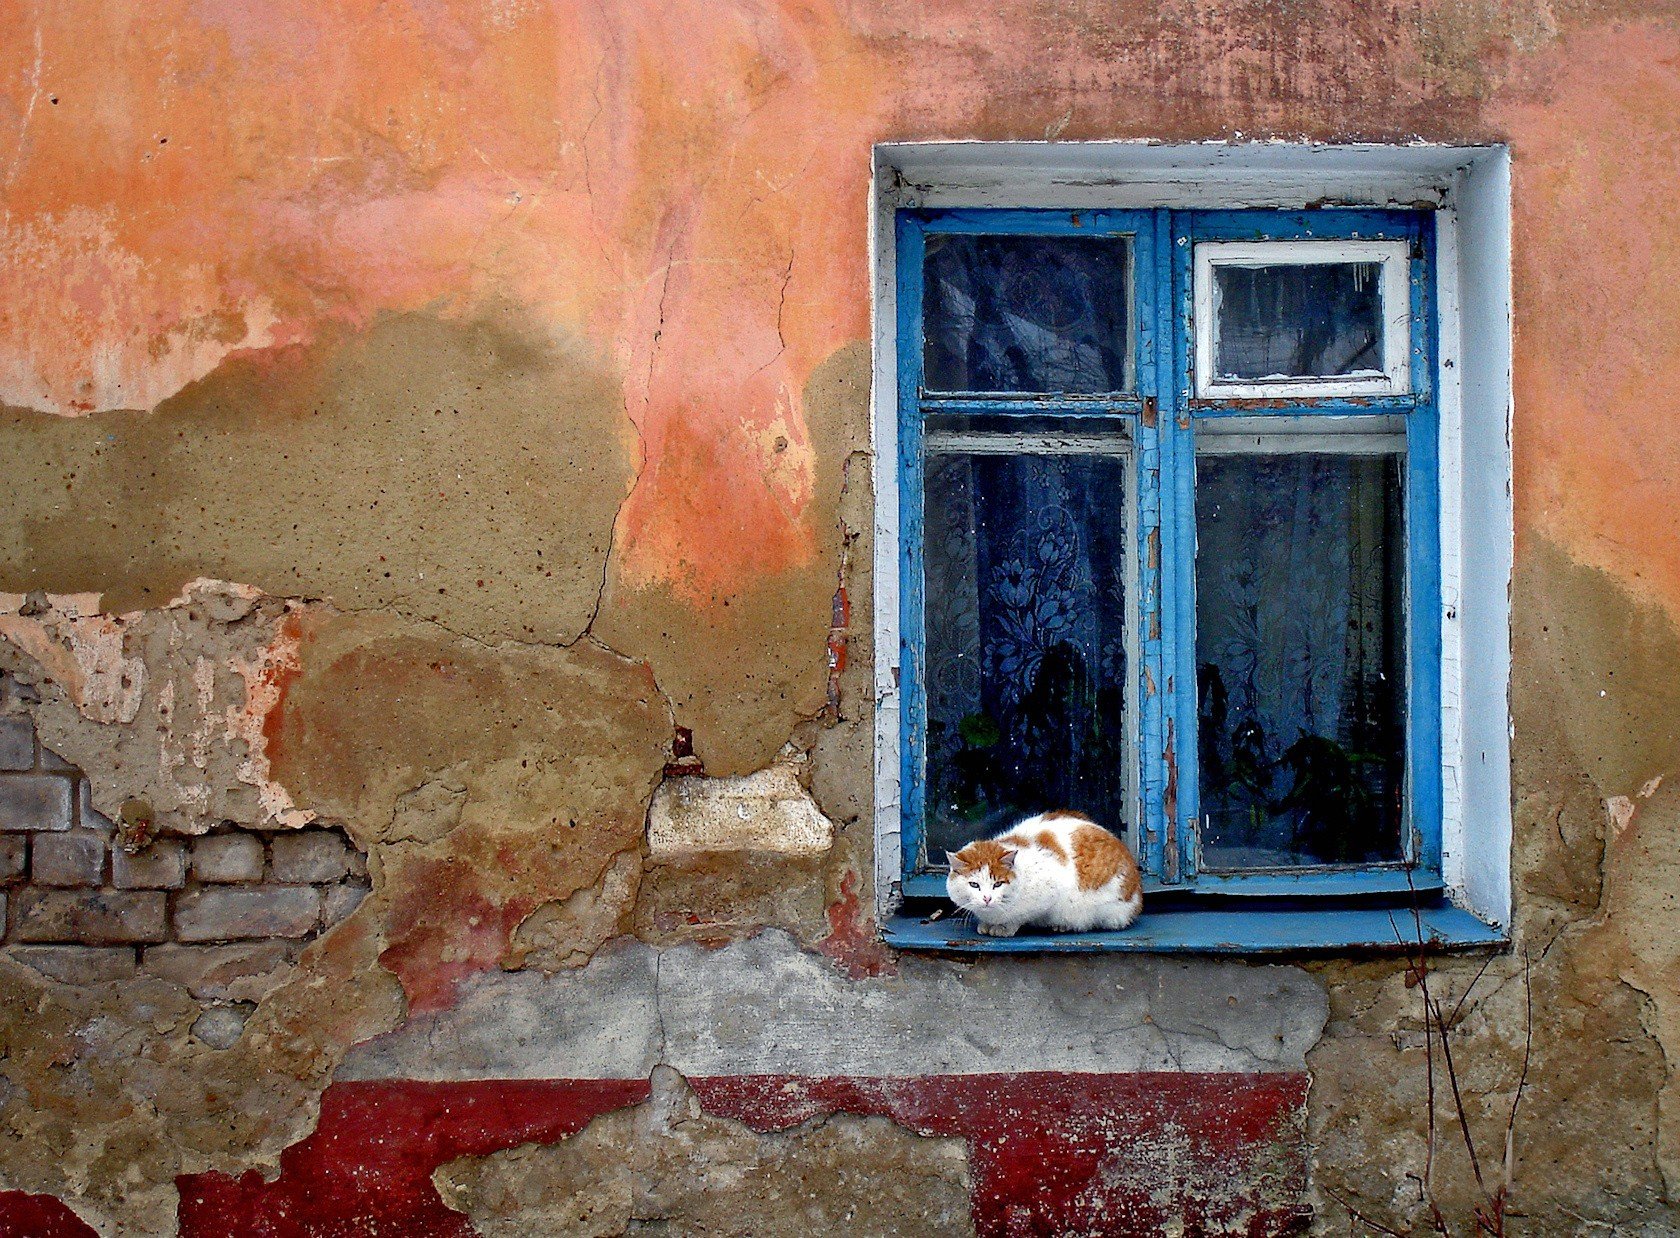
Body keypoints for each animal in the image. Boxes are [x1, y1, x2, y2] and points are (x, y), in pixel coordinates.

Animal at [947, 806, 1142, 933]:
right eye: (974, 885)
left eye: (998, 884)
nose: (987, 898)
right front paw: (986, 925)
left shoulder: (1048, 894)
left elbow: (1019, 917)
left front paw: (1004, 928)